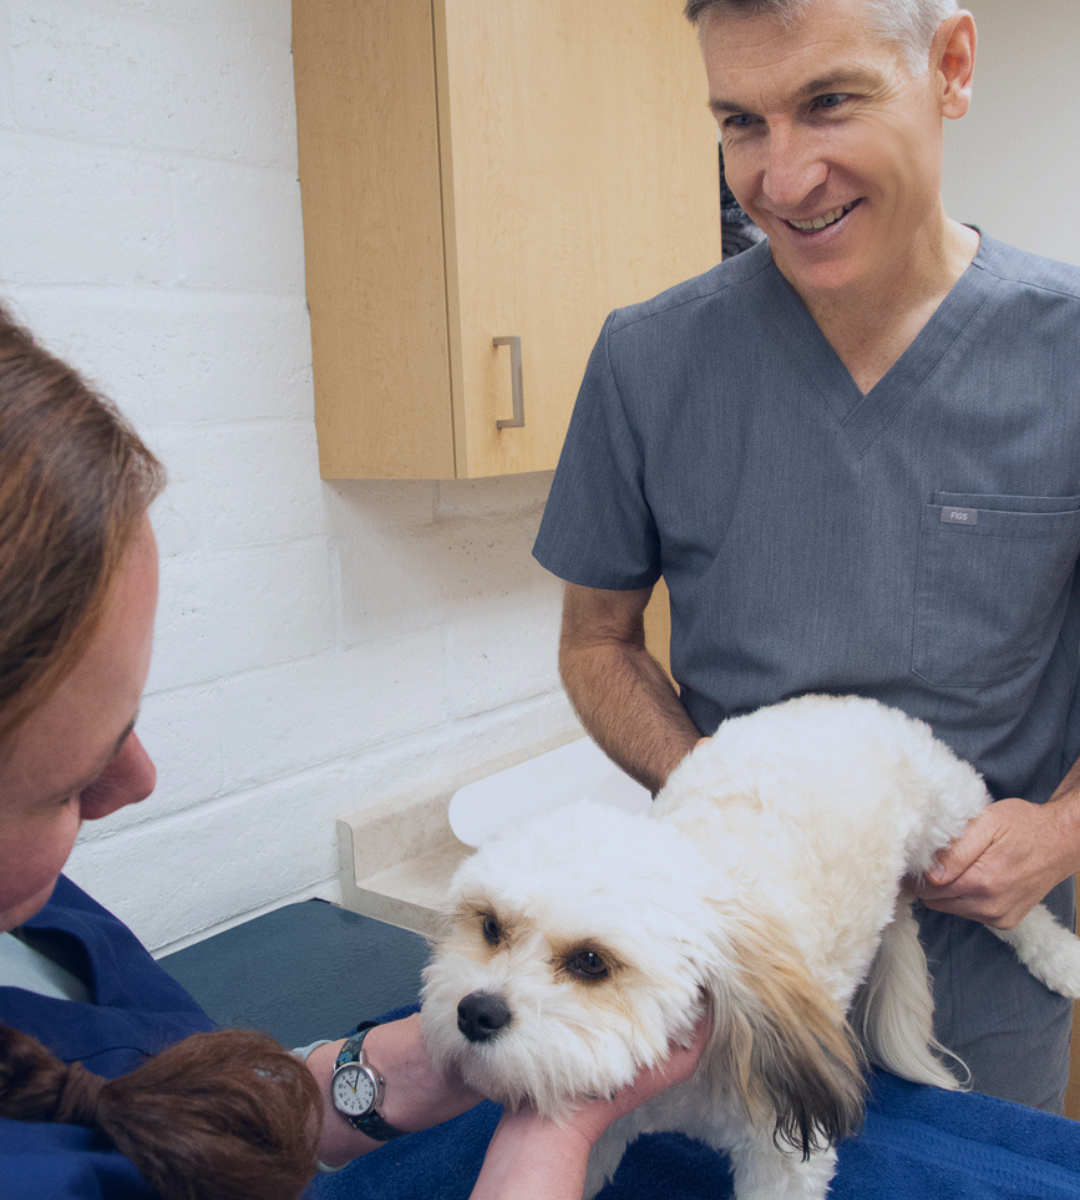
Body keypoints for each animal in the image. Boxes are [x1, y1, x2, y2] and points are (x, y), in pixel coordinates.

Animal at [420, 696, 1080, 1200]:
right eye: (490, 927)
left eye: (590, 962)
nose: (476, 1013)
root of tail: (847, 701)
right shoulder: (593, 1138)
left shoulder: (784, 1153)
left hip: (952, 822)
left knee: (1014, 908)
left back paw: (1058, 956)